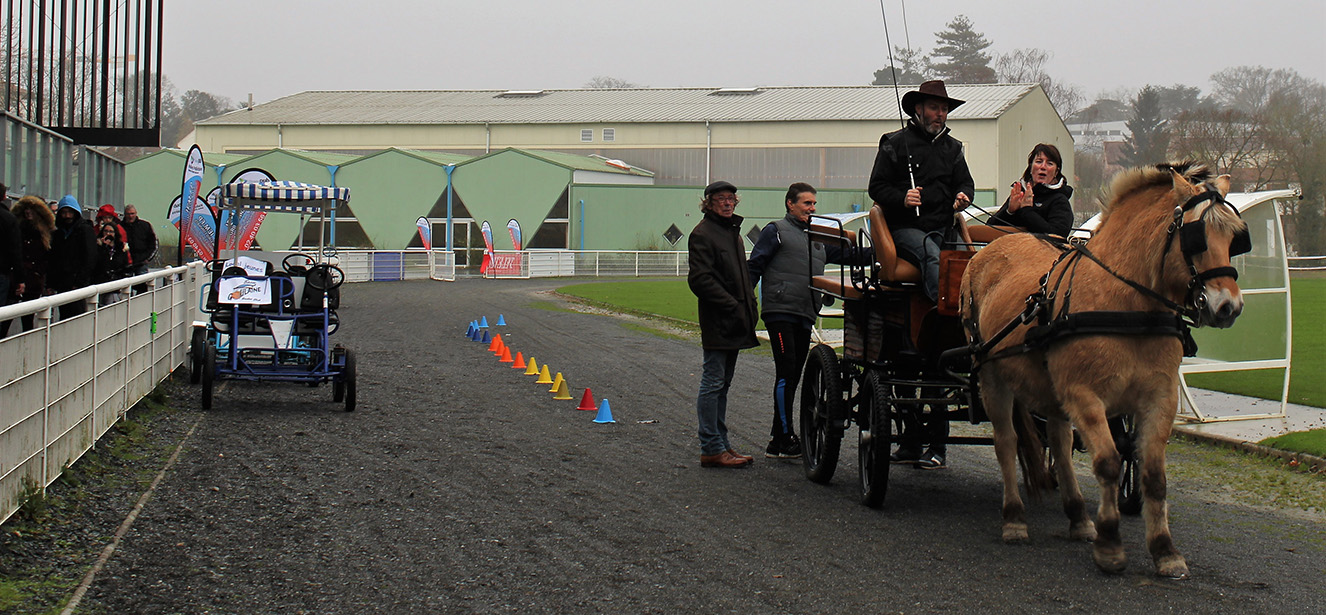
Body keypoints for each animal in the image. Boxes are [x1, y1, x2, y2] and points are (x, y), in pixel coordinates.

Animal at [959, 161, 1249, 578]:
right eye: (1197, 238)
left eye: (1233, 237)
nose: (1229, 307)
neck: (1127, 304)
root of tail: (986, 252)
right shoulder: (1084, 394)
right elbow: (1109, 463)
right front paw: (1110, 543)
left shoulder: (1158, 396)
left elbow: (1153, 475)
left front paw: (1164, 550)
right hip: (992, 375)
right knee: (1006, 442)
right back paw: (1014, 518)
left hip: (1051, 386)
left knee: (1059, 443)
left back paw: (1079, 517)